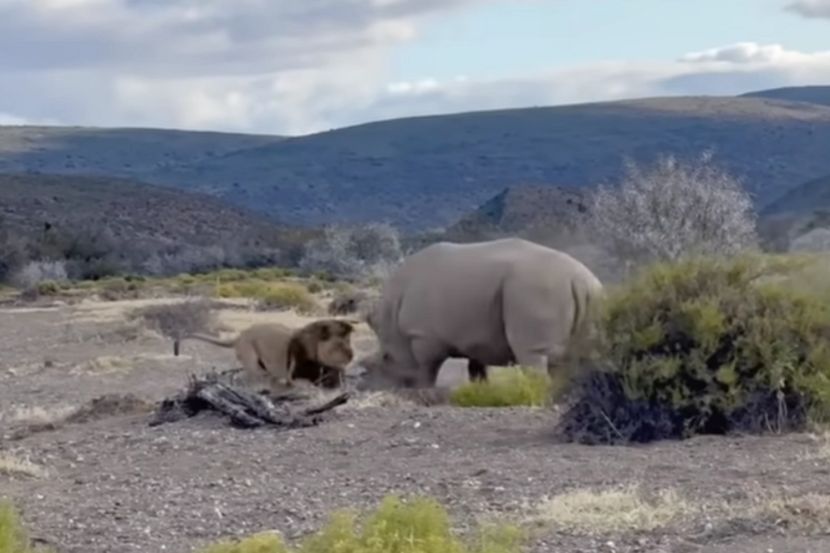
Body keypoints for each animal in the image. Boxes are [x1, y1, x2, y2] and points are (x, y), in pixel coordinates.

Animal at [174, 316, 360, 390]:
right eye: (339, 343)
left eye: (349, 341)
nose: (351, 355)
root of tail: (240, 336)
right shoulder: (294, 375)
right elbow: (304, 383)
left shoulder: (336, 373)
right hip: (252, 362)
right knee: (250, 379)